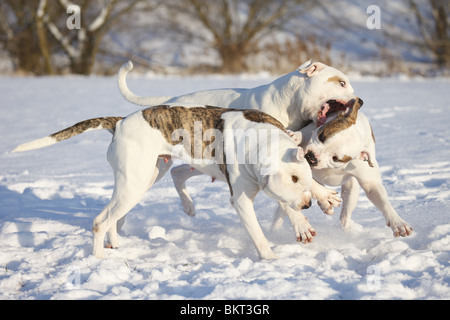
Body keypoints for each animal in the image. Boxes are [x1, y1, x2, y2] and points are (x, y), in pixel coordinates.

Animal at [14, 105, 316, 260]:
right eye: (294, 178)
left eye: (306, 178)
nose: (308, 204)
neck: (264, 142)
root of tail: (120, 122)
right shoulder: (241, 200)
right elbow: (258, 235)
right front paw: (270, 259)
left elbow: (284, 203)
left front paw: (300, 222)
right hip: (134, 184)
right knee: (101, 221)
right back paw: (98, 260)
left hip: (146, 177)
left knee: (114, 217)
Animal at [272, 98, 414, 238]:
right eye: (322, 136)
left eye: (335, 158)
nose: (311, 157)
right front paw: (295, 136)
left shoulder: (370, 182)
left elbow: (381, 199)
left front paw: (398, 223)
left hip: (351, 192)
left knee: (345, 212)